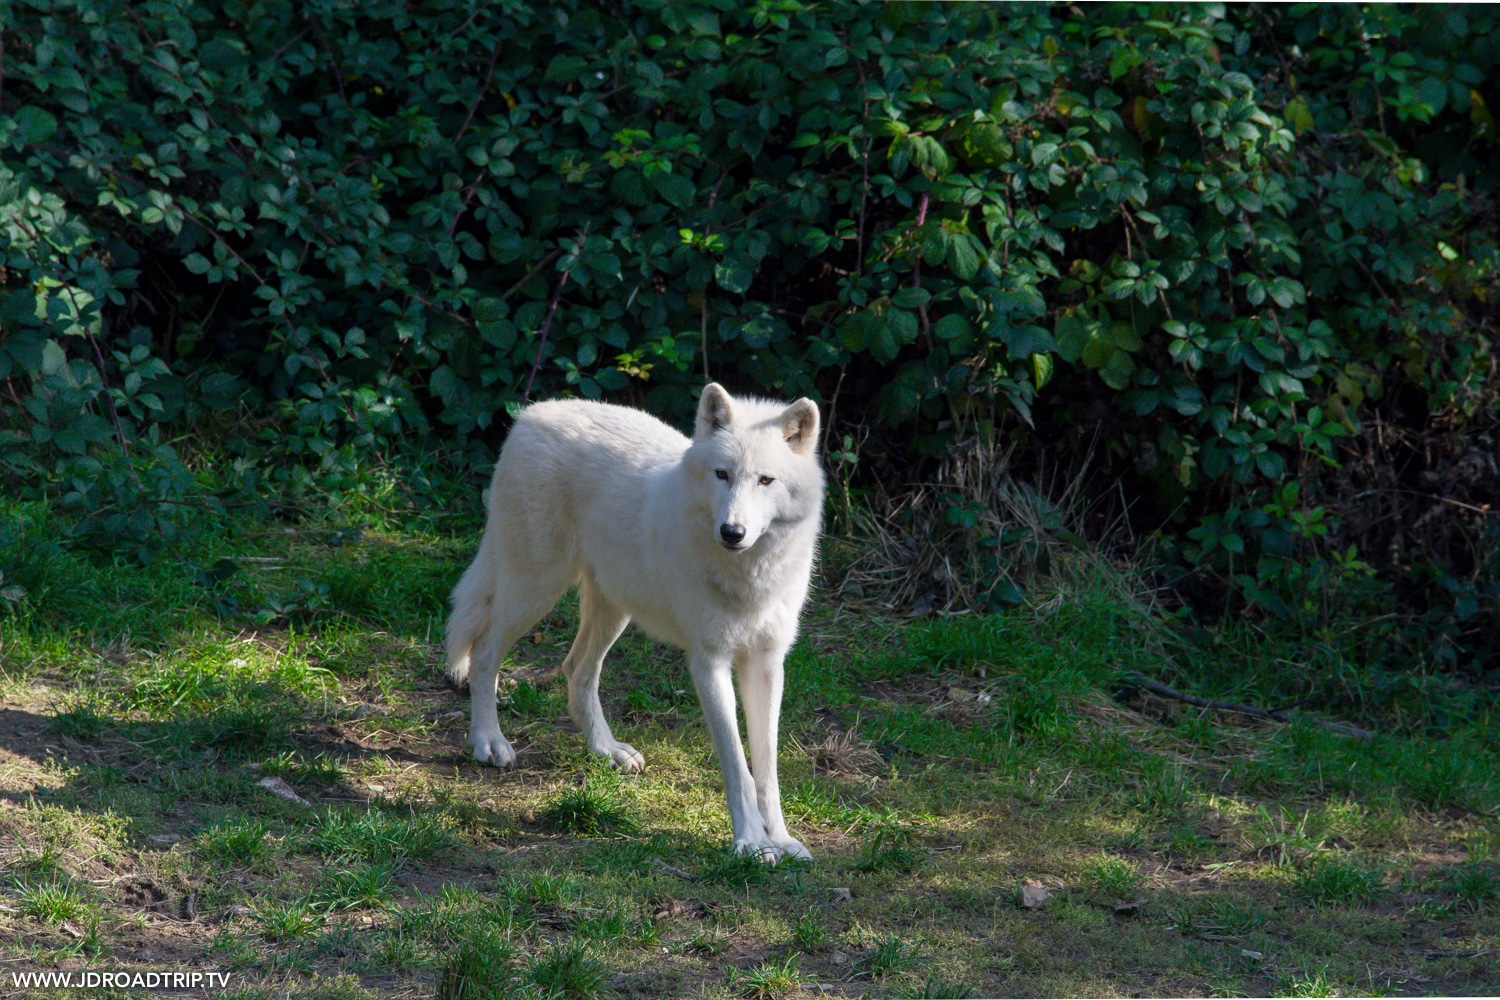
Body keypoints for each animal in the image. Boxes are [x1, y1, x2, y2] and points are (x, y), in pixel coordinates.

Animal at [444, 383, 828, 863]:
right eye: (722, 474)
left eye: (765, 480)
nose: (732, 532)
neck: (748, 574)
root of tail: (532, 415)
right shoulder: (709, 663)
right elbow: (737, 766)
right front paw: (751, 844)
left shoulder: (767, 664)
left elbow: (767, 768)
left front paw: (781, 839)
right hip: (534, 591)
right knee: (483, 655)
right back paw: (488, 742)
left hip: (612, 610)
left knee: (576, 670)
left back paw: (605, 750)